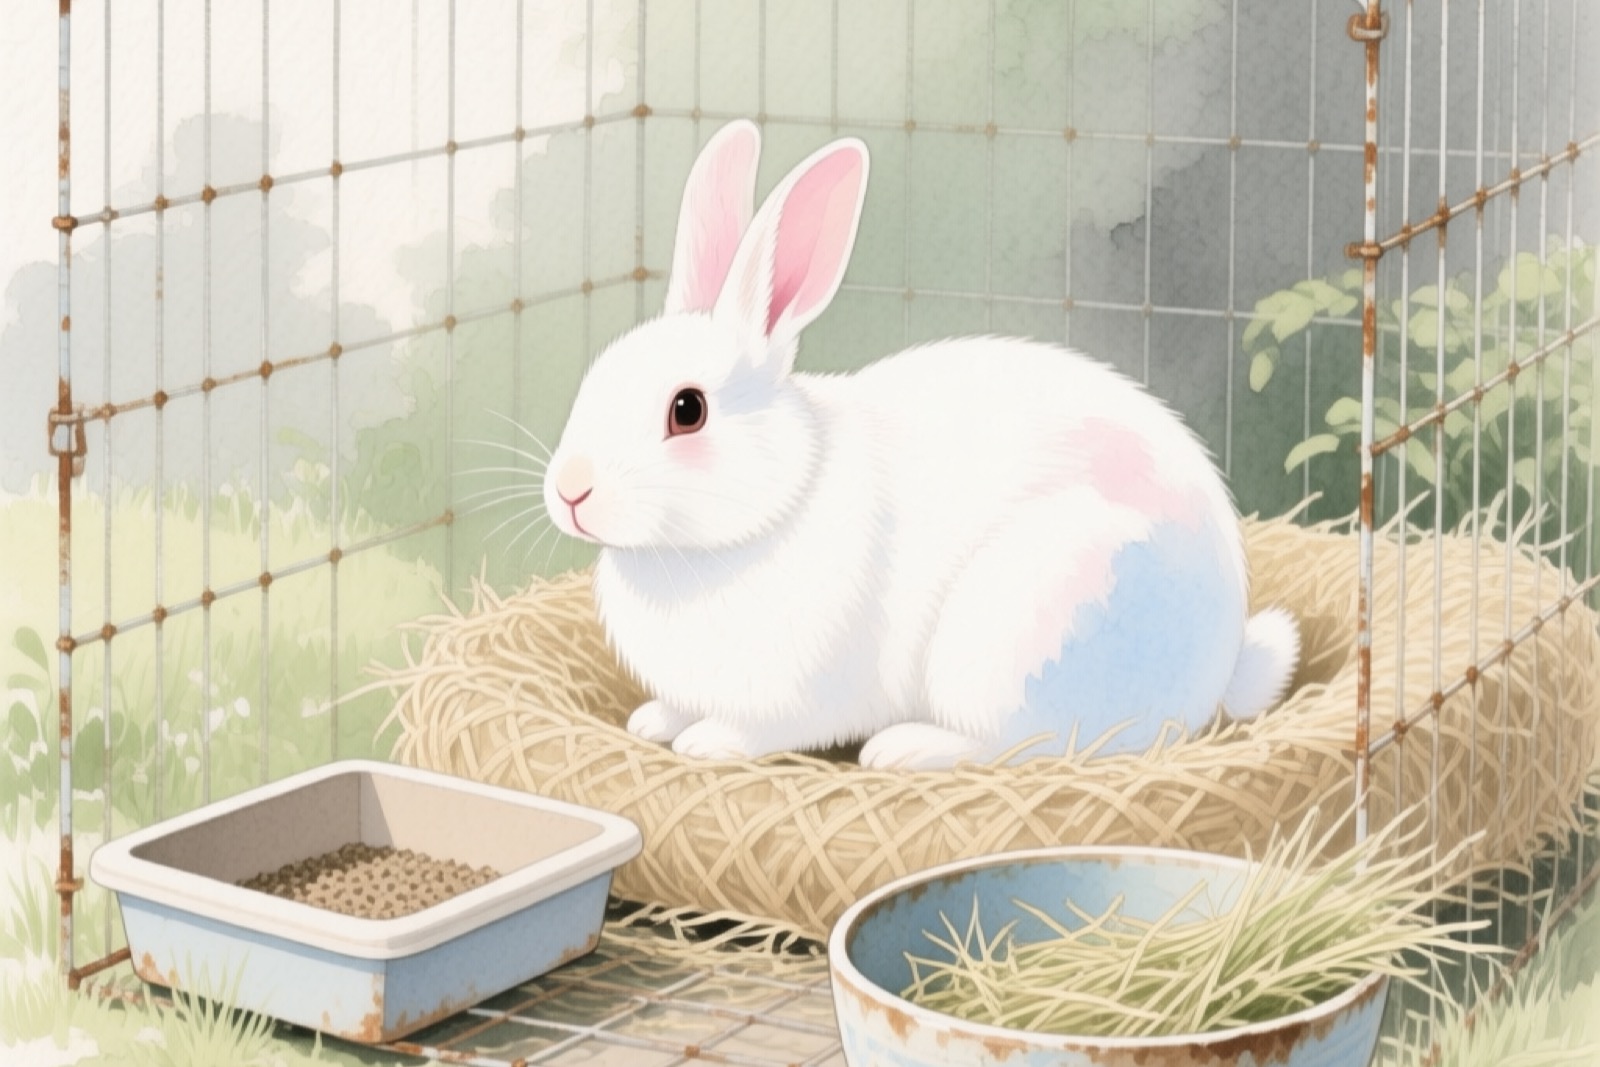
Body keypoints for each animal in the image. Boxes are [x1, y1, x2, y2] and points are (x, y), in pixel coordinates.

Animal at [541, 119, 1300, 770]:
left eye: (688, 410)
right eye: (597, 374)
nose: (572, 490)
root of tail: (1219, 671)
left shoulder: (804, 692)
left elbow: (764, 728)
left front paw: (707, 741)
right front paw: (654, 720)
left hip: (1025, 627)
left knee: (1021, 745)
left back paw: (904, 748)